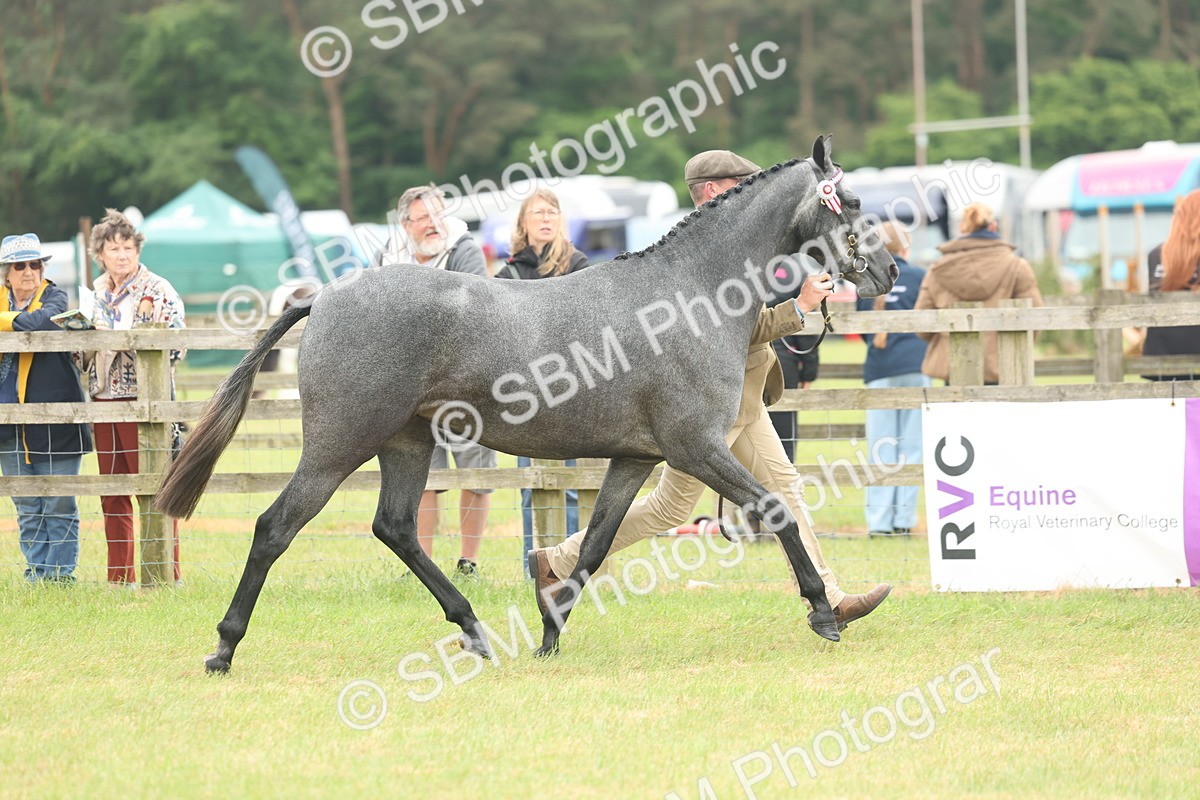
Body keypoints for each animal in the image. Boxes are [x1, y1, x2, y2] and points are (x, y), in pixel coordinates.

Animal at [156, 135, 897, 673]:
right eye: (853, 197)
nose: (888, 271)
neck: (688, 295)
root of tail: (325, 296)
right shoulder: (696, 447)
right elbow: (776, 510)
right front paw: (823, 613)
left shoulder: (635, 459)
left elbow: (594, 546)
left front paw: (548, 631)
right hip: (338, 446)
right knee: (274, 528)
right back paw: (224, 647)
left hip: (407, 443)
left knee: (396, 528)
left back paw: (476, 631)